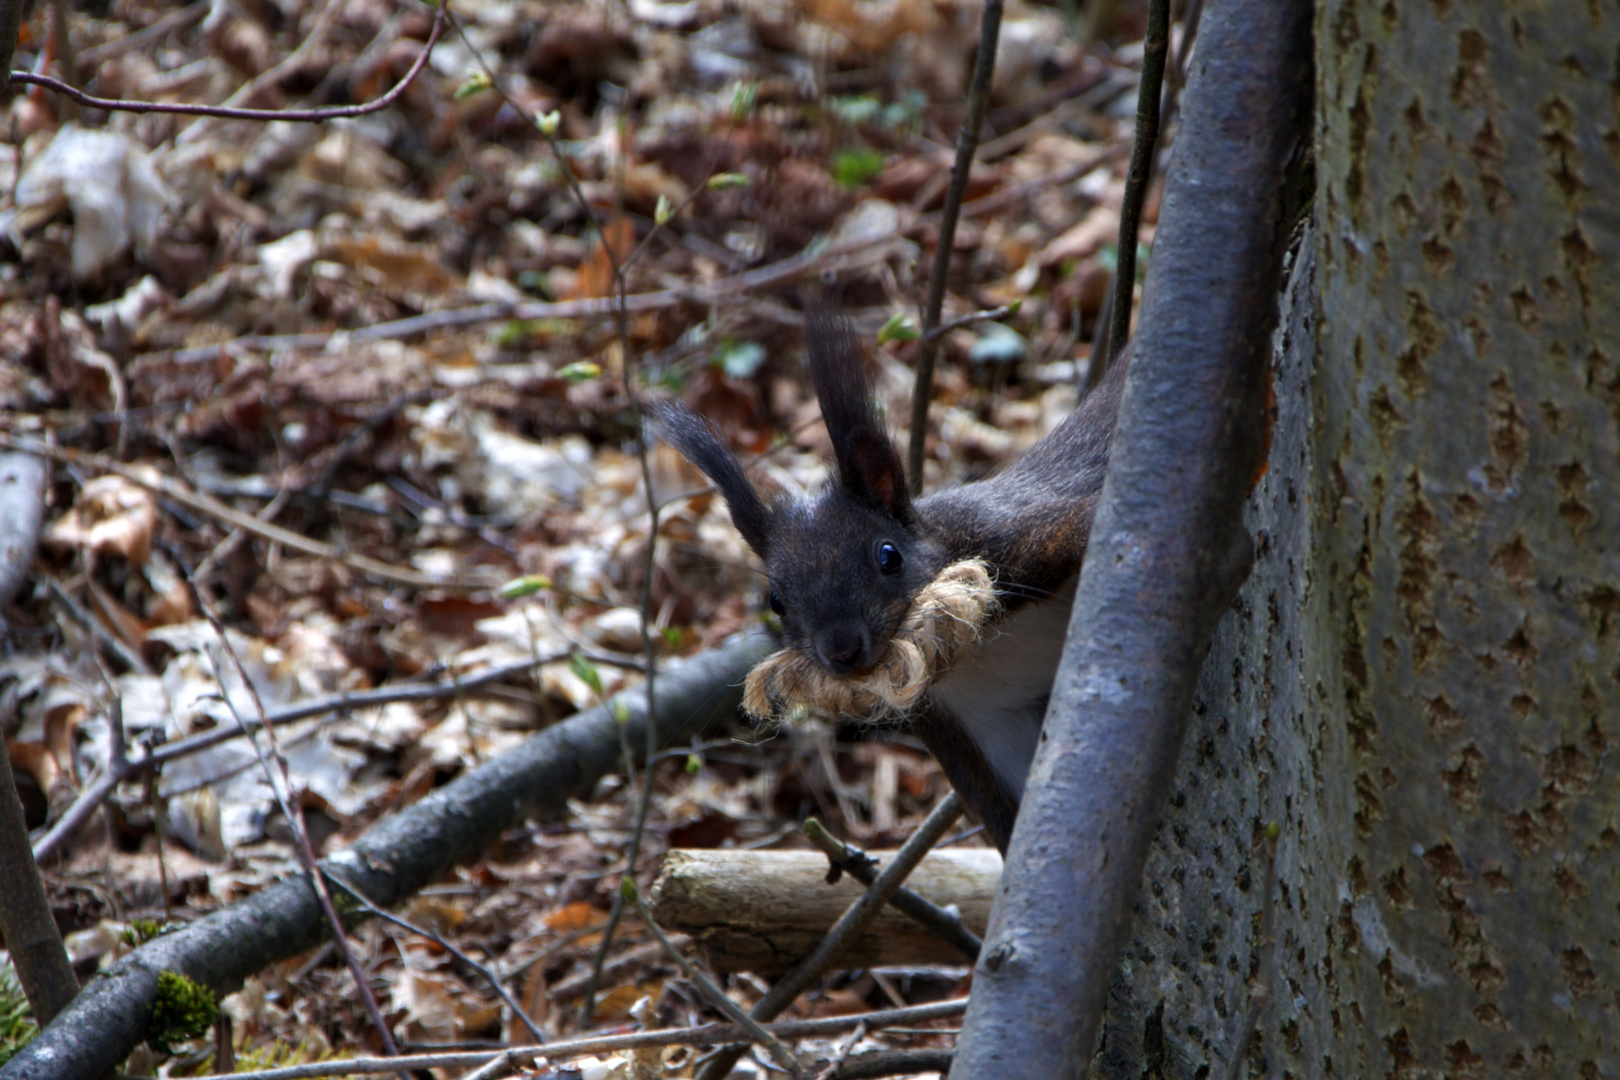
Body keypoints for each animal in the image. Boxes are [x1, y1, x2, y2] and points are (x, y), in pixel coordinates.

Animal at [654, 306, 1127, 854]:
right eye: (776, 602)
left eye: (888, 556)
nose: (841, 649)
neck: (974, 656)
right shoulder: (970, 729)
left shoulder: (1024, 540)